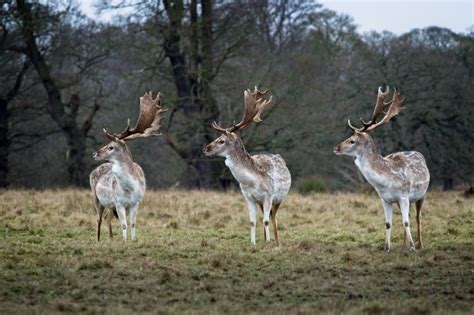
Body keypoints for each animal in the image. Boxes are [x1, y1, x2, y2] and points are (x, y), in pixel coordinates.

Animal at [90, 91, 166, 242]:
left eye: (111, 147)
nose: (95, 153)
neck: (130, 188)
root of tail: (93, 172)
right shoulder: (119, 202)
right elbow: (124, 224)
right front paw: (124, 241)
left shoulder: (136, 202)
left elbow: (133, 223)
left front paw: (133, 240)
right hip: (97, 197)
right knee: (98, 219)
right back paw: (98, 240)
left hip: (110, 205)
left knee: (107, 217)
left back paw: (111, 239)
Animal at [203, 87, 290, 247]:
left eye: (221, 141)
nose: (206, 148)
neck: (252, 182)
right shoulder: (248, 197)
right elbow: (252, 221)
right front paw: (253, 244)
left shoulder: (269, 195)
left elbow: (266, 221)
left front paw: (268, 243)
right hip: (261, 202)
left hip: (279, 198)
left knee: (273, 217)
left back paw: (276, 241)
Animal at [334, 87, 430, 253]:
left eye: (352, 140)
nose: (336, 148)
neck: (385, 183)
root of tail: (418, 153)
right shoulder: (385, 199)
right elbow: (388, 223)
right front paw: (387, 248)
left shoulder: (404, 196)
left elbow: (406, 222)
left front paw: (412, 247)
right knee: (408, 216)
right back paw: (403, 246)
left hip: (421, 195)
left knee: (417, 217)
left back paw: (419, 244)